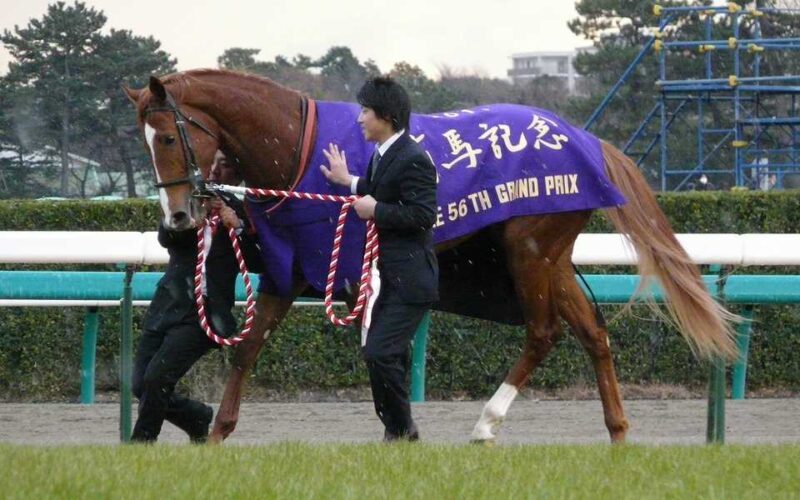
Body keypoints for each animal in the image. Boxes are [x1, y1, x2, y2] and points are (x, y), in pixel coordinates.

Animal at [126, 68, 736, 444]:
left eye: (169, 139)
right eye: (145, 143)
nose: (178, 217)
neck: (296, 144)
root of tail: (590, 142)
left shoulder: (335, 259)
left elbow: (375, 347)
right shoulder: (289, 265)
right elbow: (249, 349)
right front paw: (216, 433)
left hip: (529, 249)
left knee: (545, 331)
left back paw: (487, 423)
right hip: (552, 257)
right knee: (593, 331)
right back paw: (617, 431)